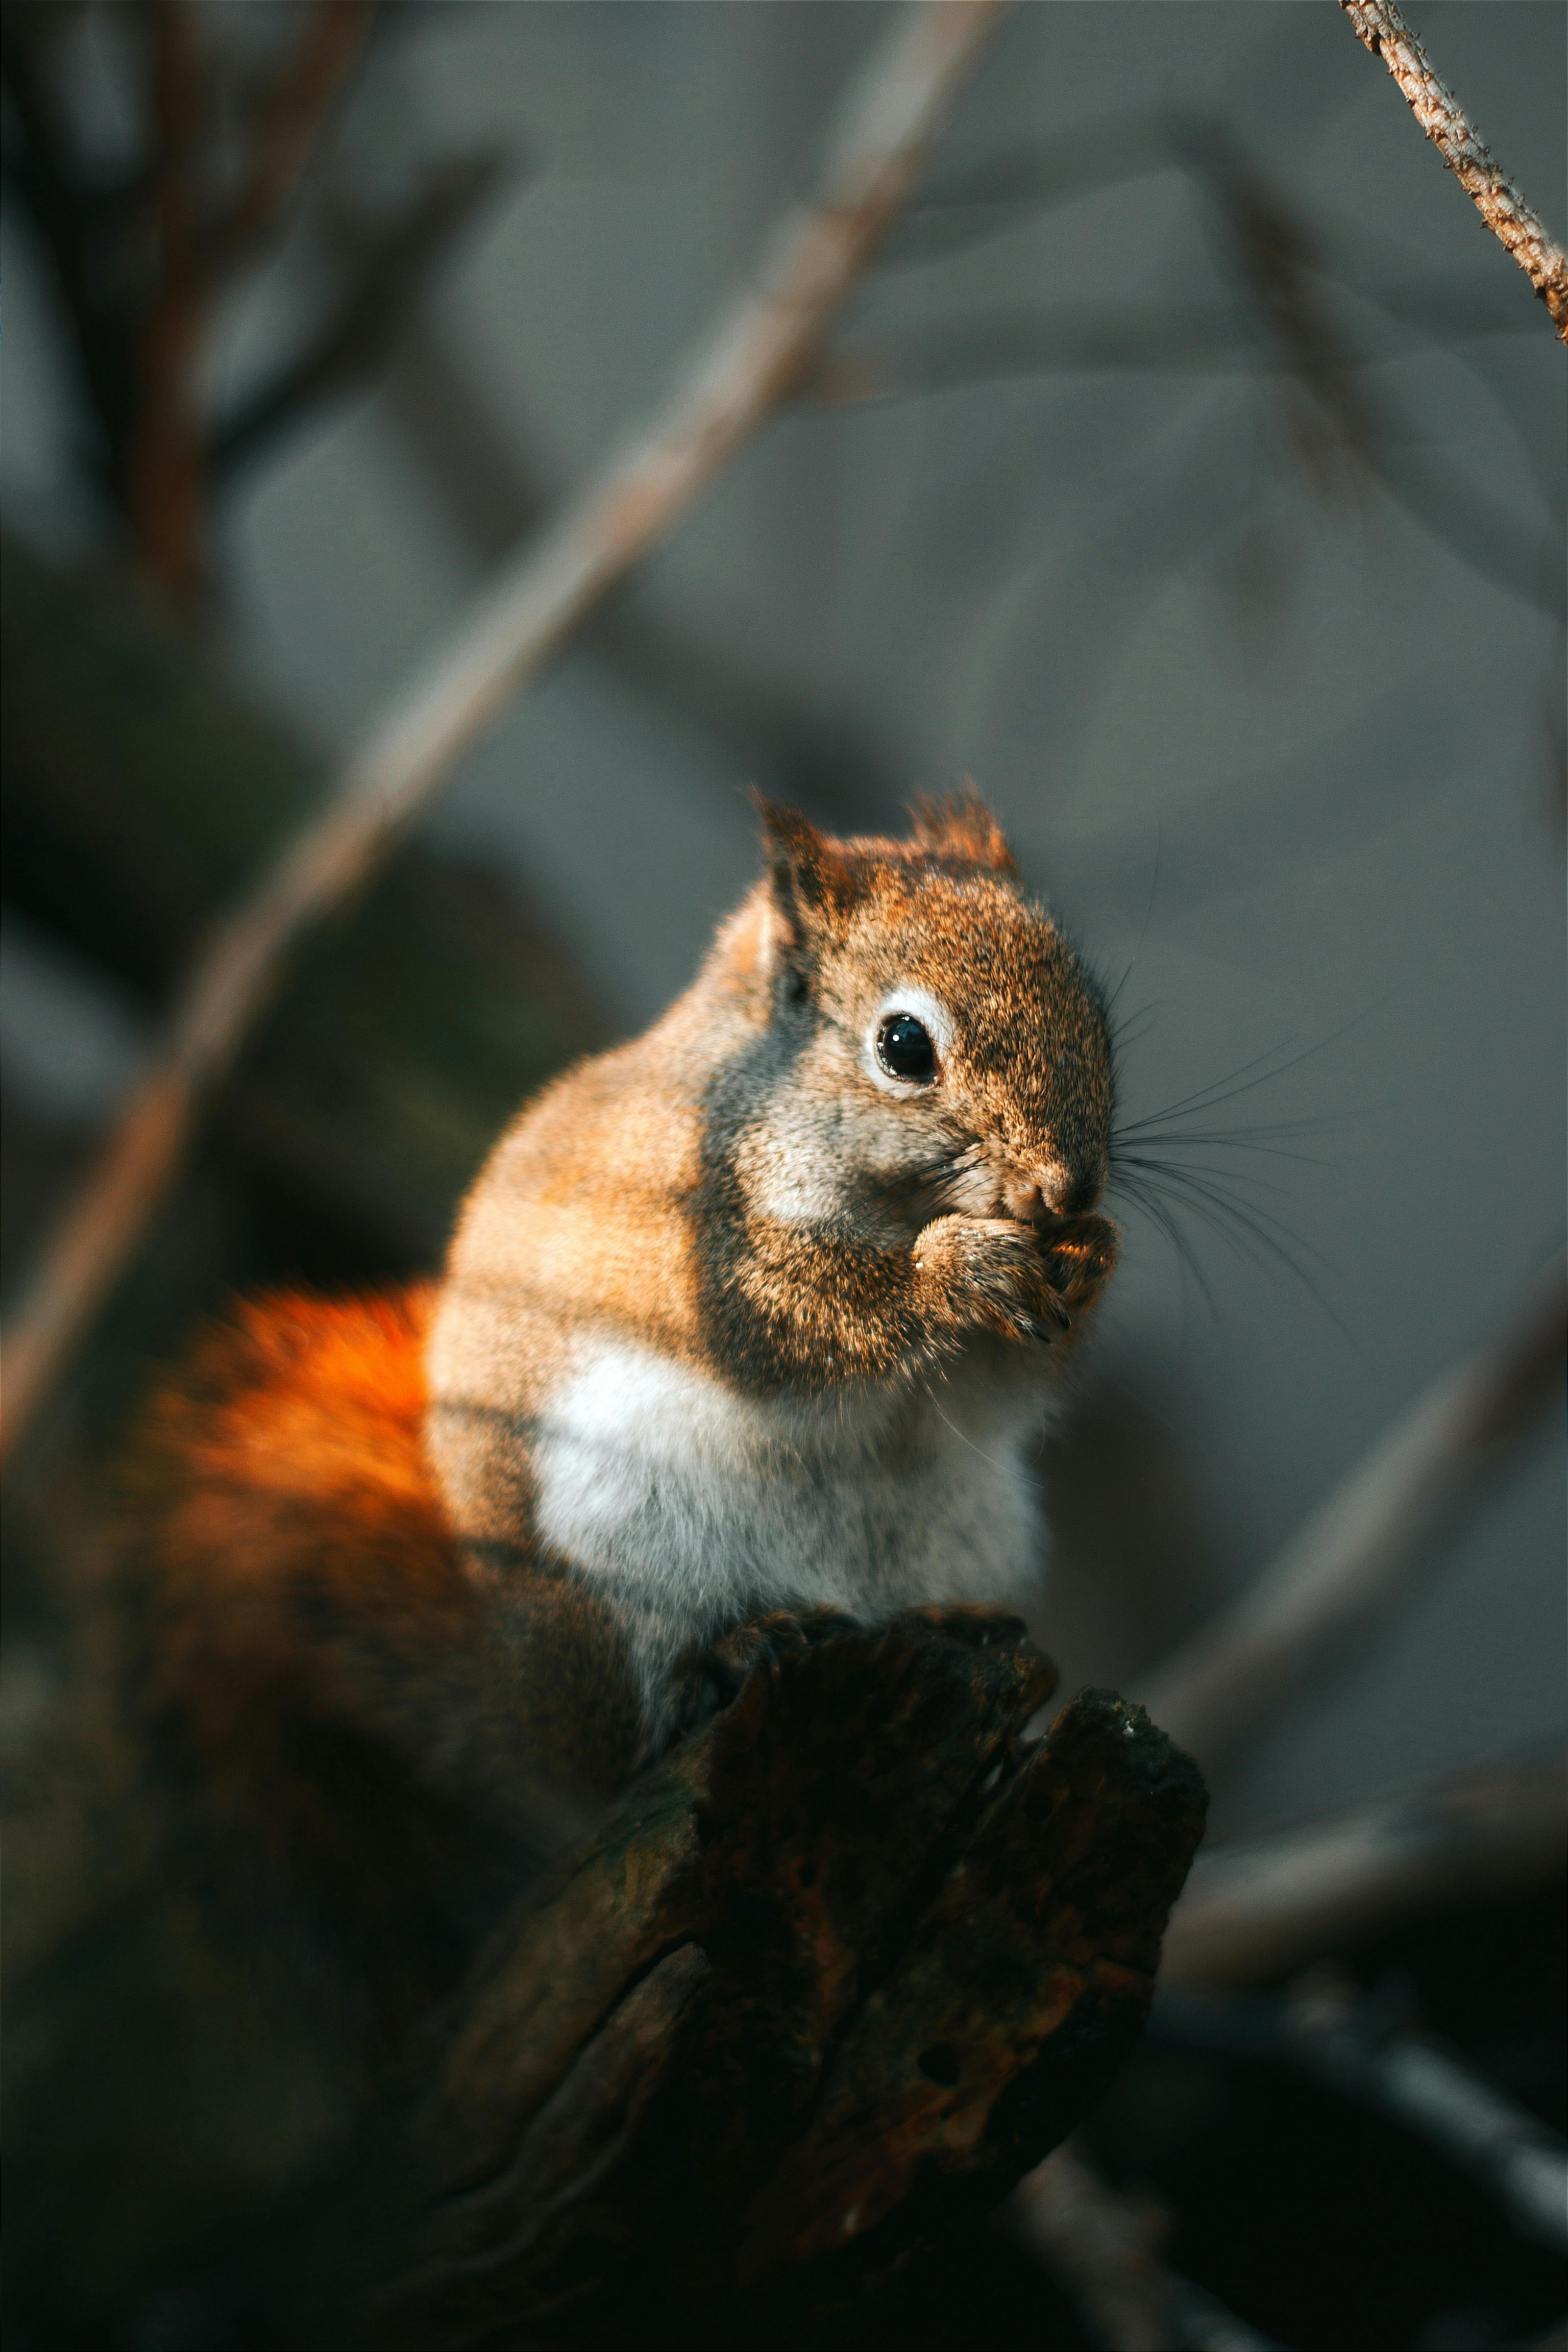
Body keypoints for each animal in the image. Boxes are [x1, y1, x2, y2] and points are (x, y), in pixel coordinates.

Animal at [126, 796, 1118, 2024]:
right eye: (903, 1047)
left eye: (1097, 1014)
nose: (1067, 1189)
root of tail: (530, 1716)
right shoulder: (690, 1235)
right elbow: (786, 1323)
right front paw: (955, 1269)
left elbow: (1003, 1384)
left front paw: (1090, 1256)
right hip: (618, 1542)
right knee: (633, 1742)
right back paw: (737, 1650)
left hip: (966, 1525)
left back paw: (947, 1621)